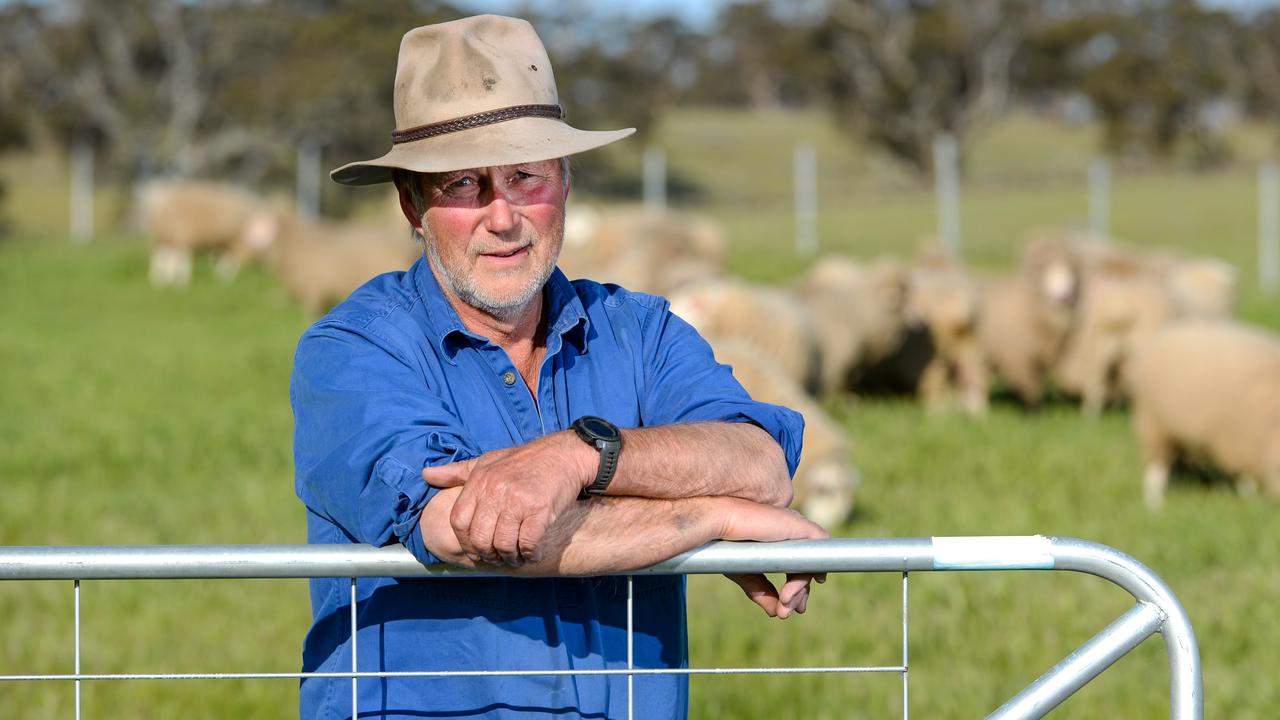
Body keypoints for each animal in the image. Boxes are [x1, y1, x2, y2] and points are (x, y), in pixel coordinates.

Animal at [1131, 319, 1280, 509]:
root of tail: (1166, 332)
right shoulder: (1242, 440)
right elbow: (1246, 478)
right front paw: (1249, 498)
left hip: (1177, 433)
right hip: (1154, 424)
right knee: (1155, 470)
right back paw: (1155, 504)